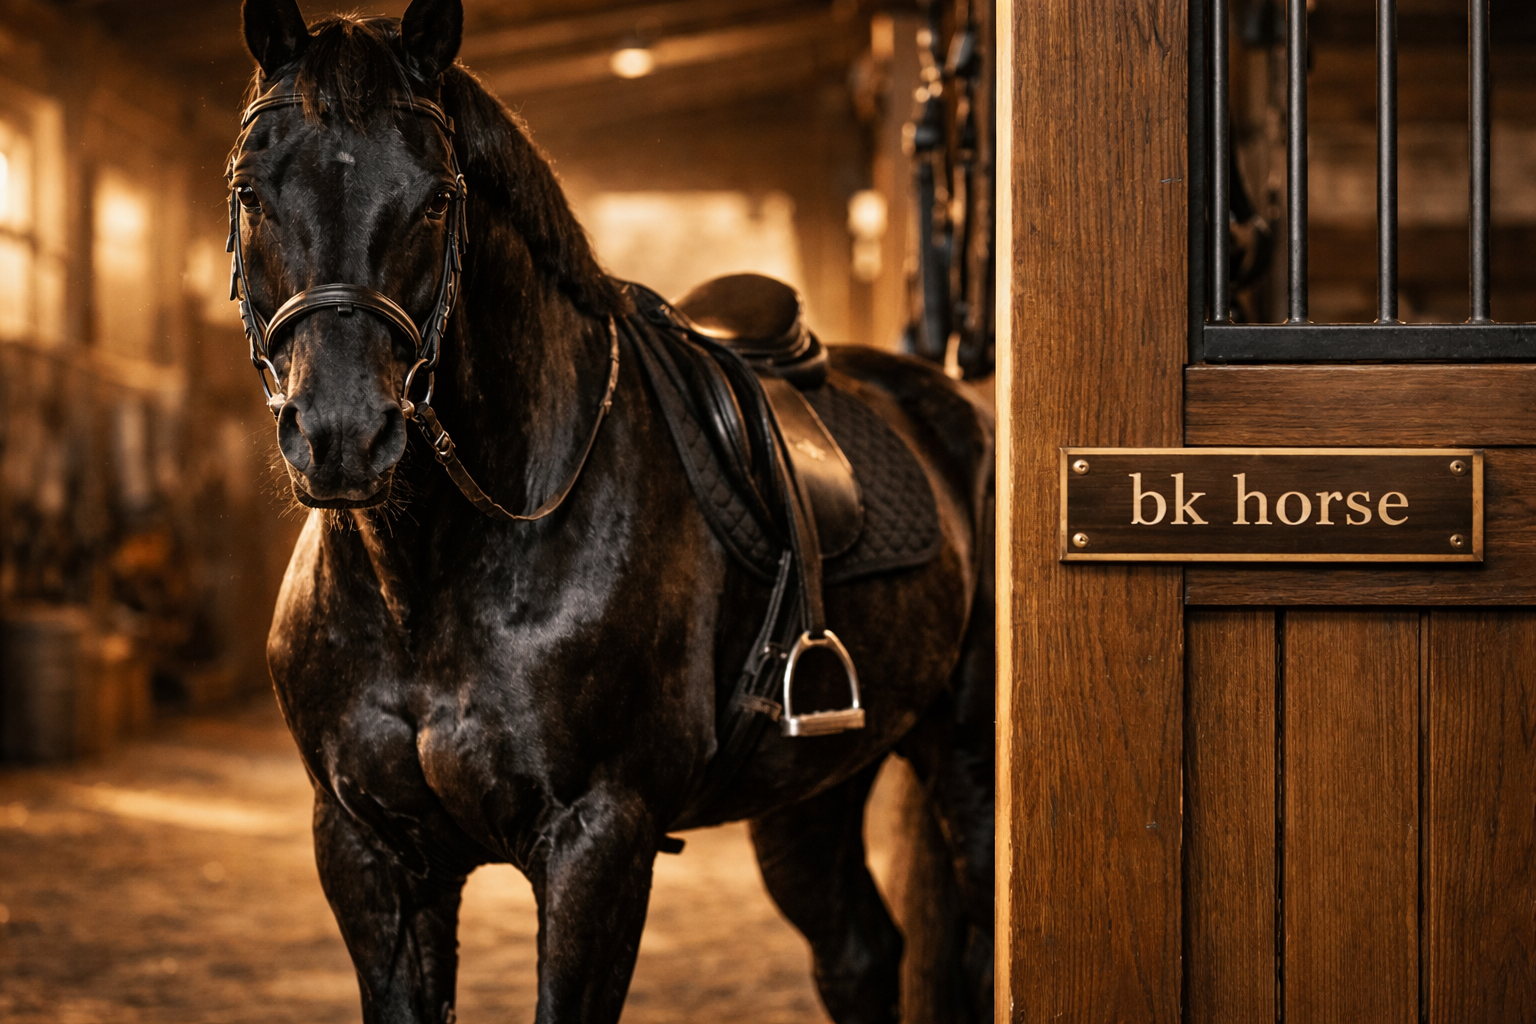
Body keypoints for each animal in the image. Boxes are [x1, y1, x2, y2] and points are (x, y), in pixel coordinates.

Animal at [232, 2, 994, 1021]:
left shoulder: (599, 842)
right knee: (860, 953)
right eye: (251, 191)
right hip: (814, 790)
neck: (428, 577)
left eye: (435, 200)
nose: (342, 435)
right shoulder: (369, 852)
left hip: (966, 761)